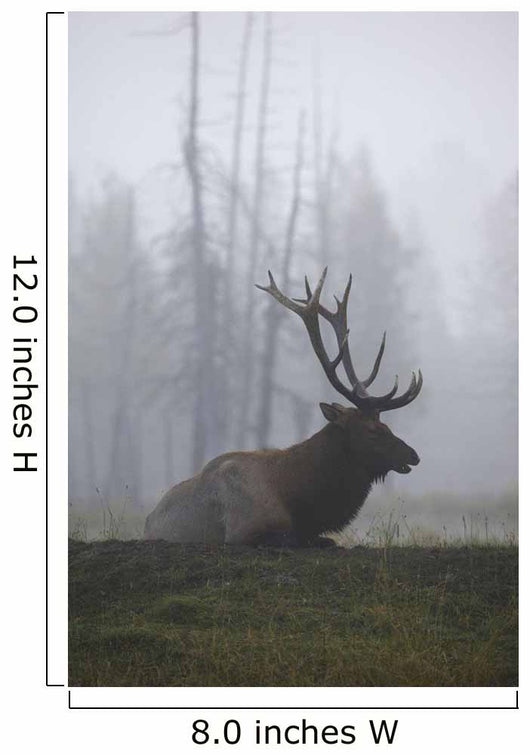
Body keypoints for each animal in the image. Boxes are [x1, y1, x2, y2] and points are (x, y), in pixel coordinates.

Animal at [144, 268, 422, 547]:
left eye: (385, 424)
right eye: (372, 430)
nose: (413, 455)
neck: (297, 499)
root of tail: (148, 521)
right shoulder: (242, 532)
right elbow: (305, 539)